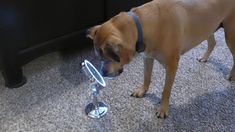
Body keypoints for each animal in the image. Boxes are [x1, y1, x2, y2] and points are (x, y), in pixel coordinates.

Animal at [86, 0, 235, 118]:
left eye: (107, 58)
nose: (102, 74)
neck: (142, 24)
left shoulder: (172, 66)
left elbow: (166, 90)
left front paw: (163, 108)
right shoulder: (147, 57)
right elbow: (146, 77)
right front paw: (142, 90)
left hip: (230, 34)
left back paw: (231, 75)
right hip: (208, 27)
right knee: (212, 42)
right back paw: (204, 57)